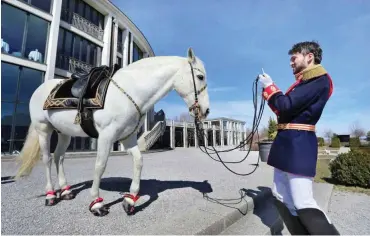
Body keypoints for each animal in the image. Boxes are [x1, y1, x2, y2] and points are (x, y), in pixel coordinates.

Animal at [14, 47, 210, 216]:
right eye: (200, 76)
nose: (206, 110)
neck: (130, 90)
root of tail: (40, 90)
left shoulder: (127, 138)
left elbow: (138, 161)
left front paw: (130, 200)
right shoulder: (106, 136)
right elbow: (100, 166)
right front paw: (96, 203)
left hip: (64, 133)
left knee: (58, 158)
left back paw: (66, 191)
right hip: (43, 129)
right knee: (47, 159)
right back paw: (50, 195)